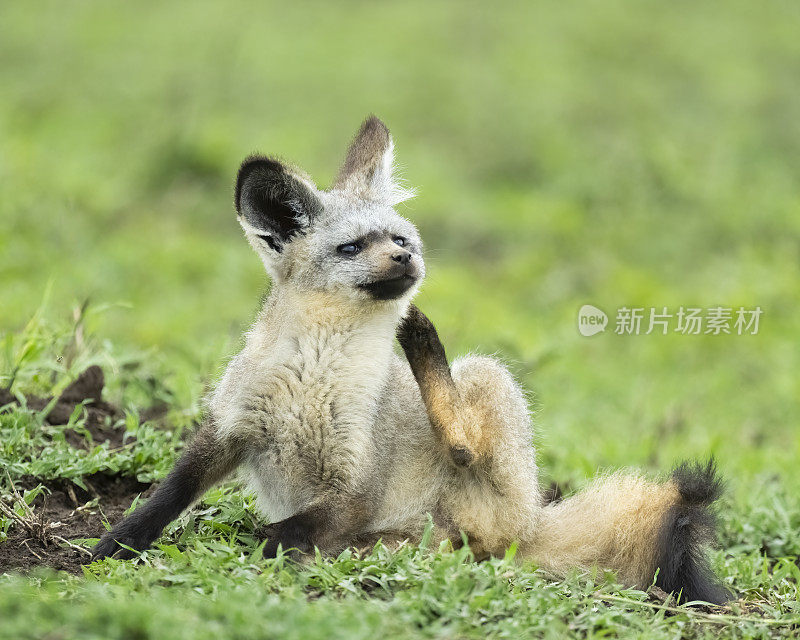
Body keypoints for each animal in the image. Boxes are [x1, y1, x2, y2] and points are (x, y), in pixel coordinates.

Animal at [94, 116, 732, 604]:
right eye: (353, 247)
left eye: (402, 240)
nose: (406, 260)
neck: (316, 378)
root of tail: (533, 522)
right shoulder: (231, 428)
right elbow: (169, 496)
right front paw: (113, 546)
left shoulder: (356, 487)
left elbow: (279, 531)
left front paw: (268, 545)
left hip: (486, 383)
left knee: (464, 447)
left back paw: (423, 344)